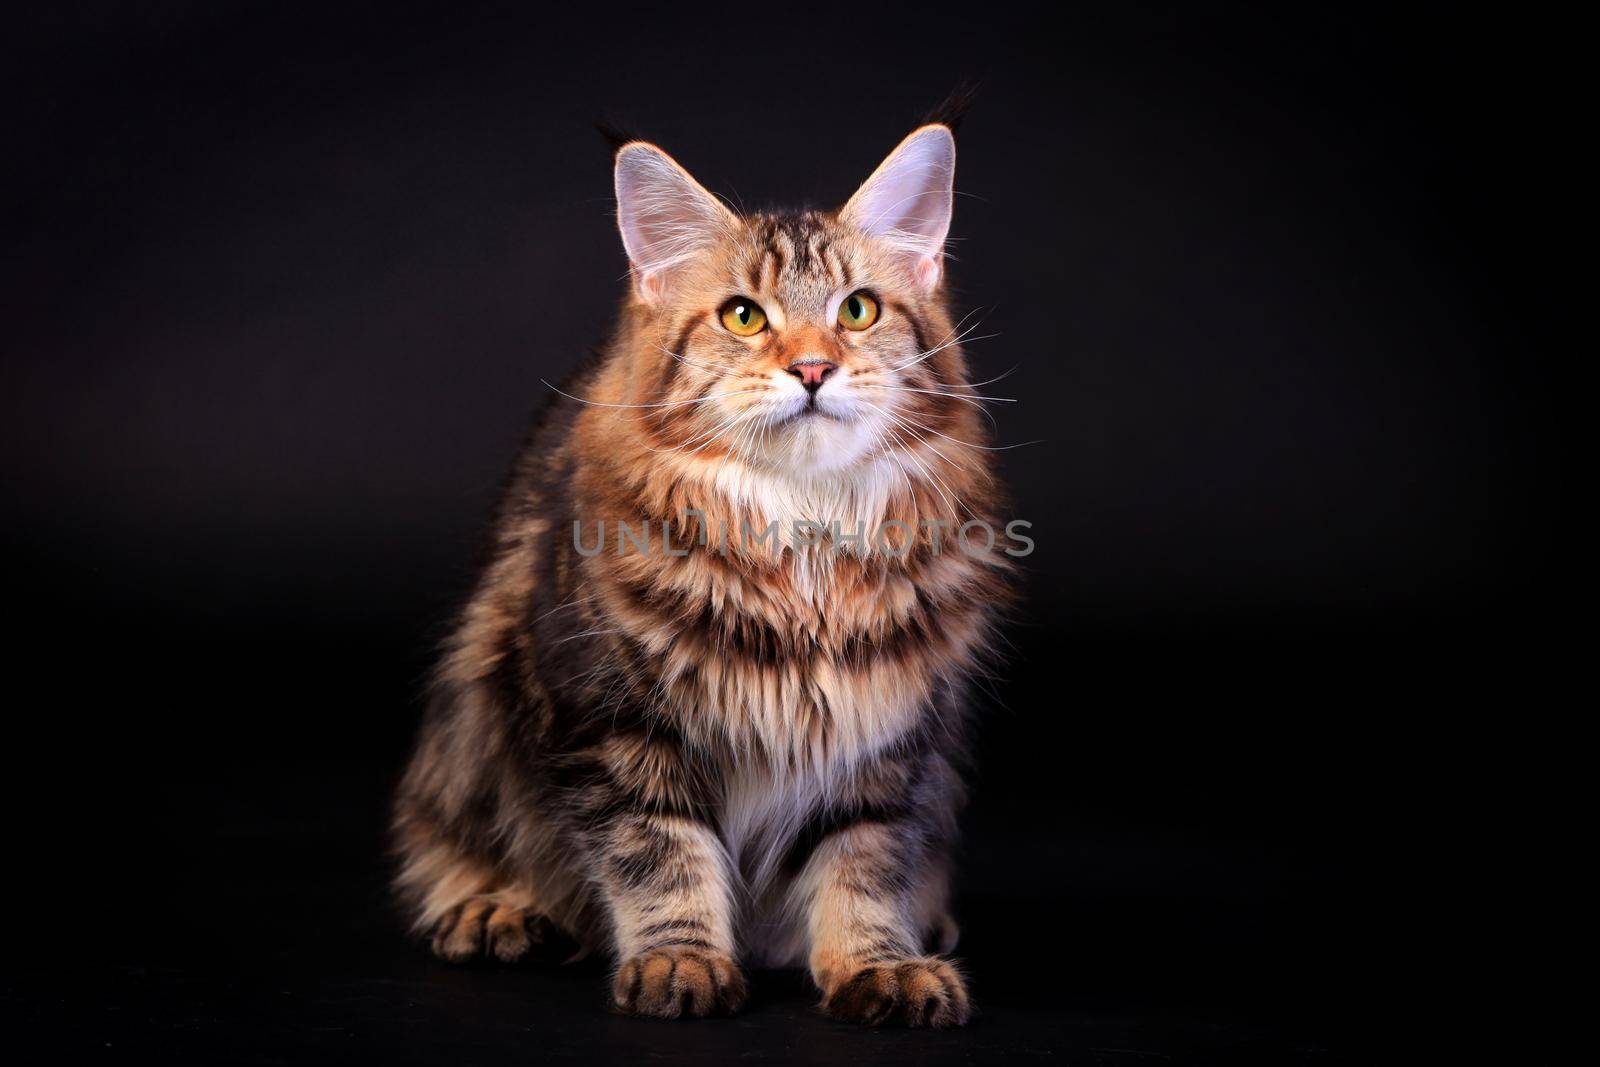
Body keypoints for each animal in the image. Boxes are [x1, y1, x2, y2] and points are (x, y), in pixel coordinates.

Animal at [390, 108, 1011, 1023]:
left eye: (858, 310)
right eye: (745, 317)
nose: (814, 367)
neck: (802, 532)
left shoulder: (885, 737)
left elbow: (863, 865)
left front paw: (878, 964)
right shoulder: (614, 722)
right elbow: (661, 853)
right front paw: (680, 959)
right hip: (472, 725)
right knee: (453, 843)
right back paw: (499, 908)